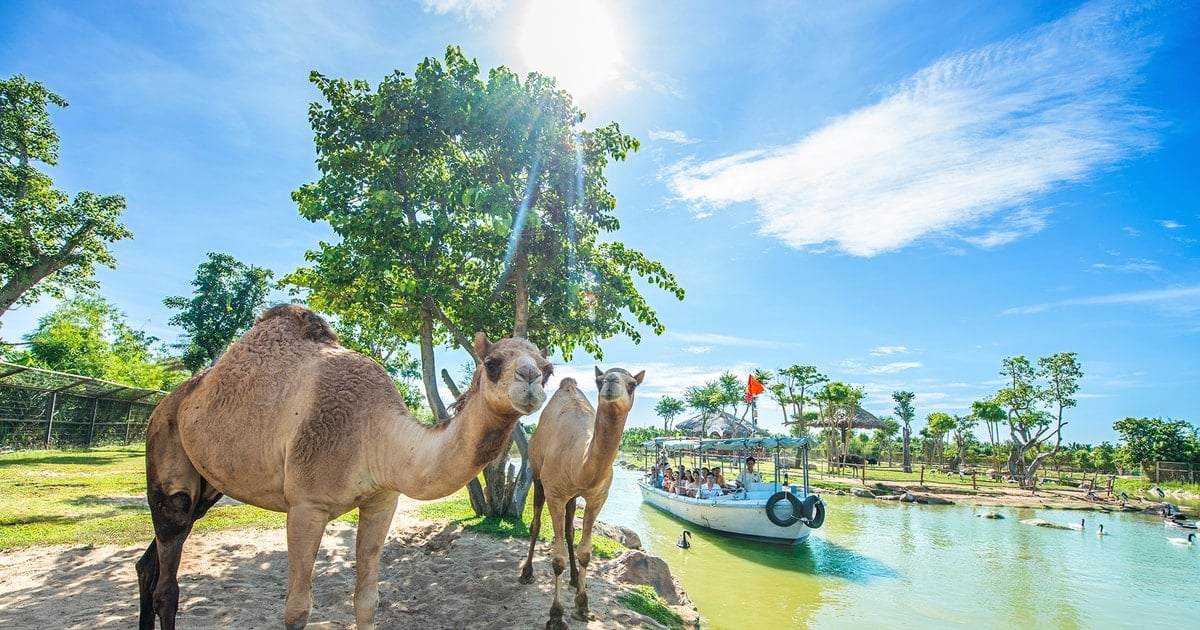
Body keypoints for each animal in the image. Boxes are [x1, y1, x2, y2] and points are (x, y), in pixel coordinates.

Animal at [518, 364, 643, 624]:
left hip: (573, 497)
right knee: (535, 524)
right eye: (599, 380)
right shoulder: (555, 493)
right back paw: (526, 572)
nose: (611, 381)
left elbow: (585, 551)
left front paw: (583, 606)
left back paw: (575, 579)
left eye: (633, 384)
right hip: (538, 477)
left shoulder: (597, 497)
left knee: (569, 530)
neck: (579, 462)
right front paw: (556, 616)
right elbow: (557, 559)